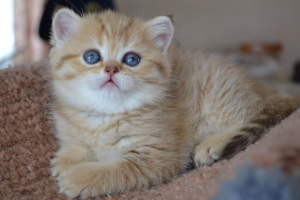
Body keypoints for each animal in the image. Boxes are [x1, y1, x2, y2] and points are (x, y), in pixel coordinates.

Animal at [49, 7, 300, 198]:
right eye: (91, 56)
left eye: (132, 59)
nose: (111, 69)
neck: (106, 114)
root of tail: (263, 86)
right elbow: (76, 145)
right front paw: (66, 161)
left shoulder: (157, 157)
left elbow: (117, 169)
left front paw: (78, 177)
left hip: (219, 93)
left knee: (253, 113)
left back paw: (214, 143)